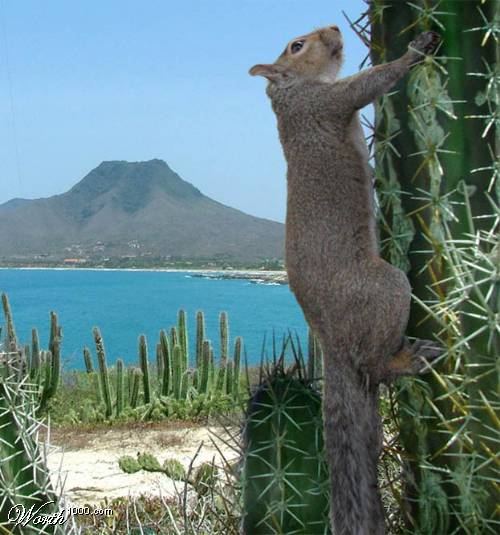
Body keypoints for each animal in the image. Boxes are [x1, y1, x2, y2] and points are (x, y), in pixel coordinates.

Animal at [250, 25, 441, 535]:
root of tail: (330, 339)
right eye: (296, 46)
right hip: (386, 290)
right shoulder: (331, 103)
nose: (333, 29)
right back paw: (406, 360)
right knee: (376, 365)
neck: (293, 93)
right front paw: (414, 51)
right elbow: (374, 82)